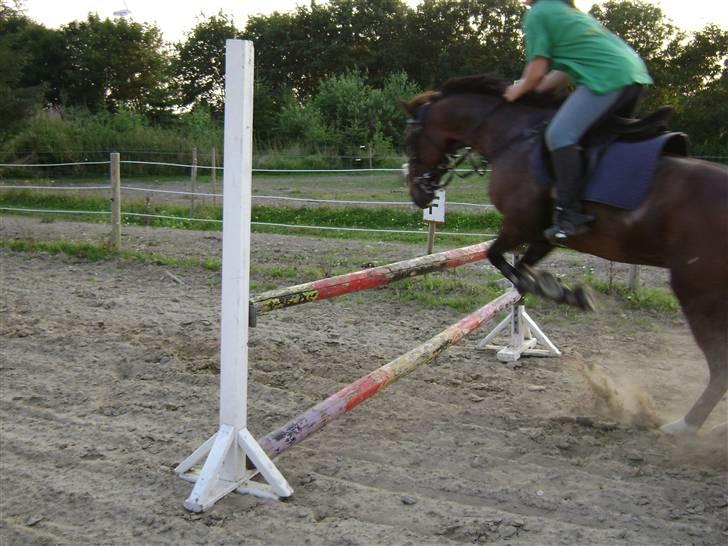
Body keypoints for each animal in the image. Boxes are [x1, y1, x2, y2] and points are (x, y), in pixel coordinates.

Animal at [400, 74, 728, 432]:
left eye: (411, 137)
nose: (417, 193)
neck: (511, 136)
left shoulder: (520, 224)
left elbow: (497, 257)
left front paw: (557, 292)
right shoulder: (543, 234)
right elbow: (521, 265)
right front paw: (559, 291)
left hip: (696, 291)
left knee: (719, 365)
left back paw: (685, 426)